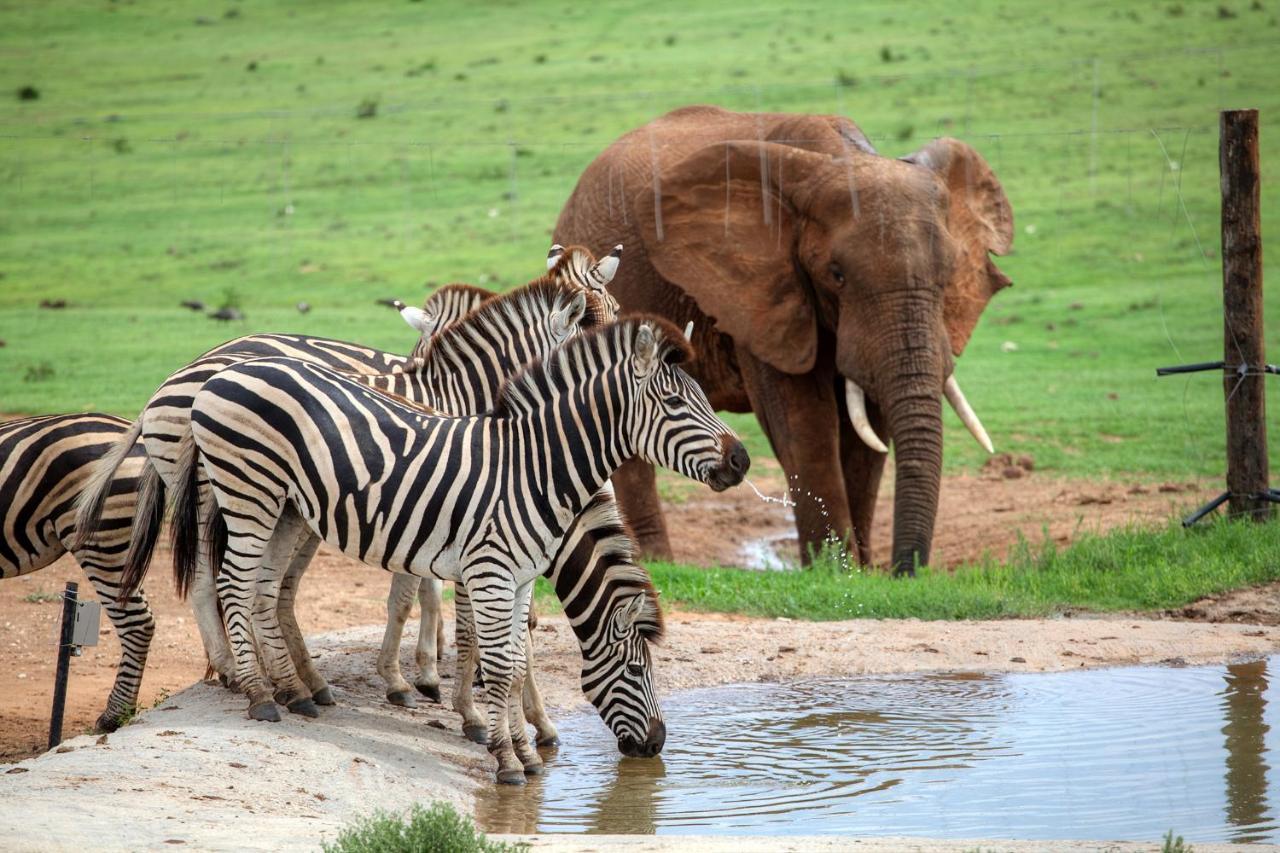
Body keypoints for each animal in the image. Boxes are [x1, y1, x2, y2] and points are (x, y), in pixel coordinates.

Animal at [555, 104, 1013, 571]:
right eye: (836, 275)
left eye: (950, 273)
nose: (904, 573)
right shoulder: (761, 294)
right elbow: (802, 421)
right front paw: (832, 570)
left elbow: (868, 428)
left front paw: (859, 570)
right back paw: (656, 560)